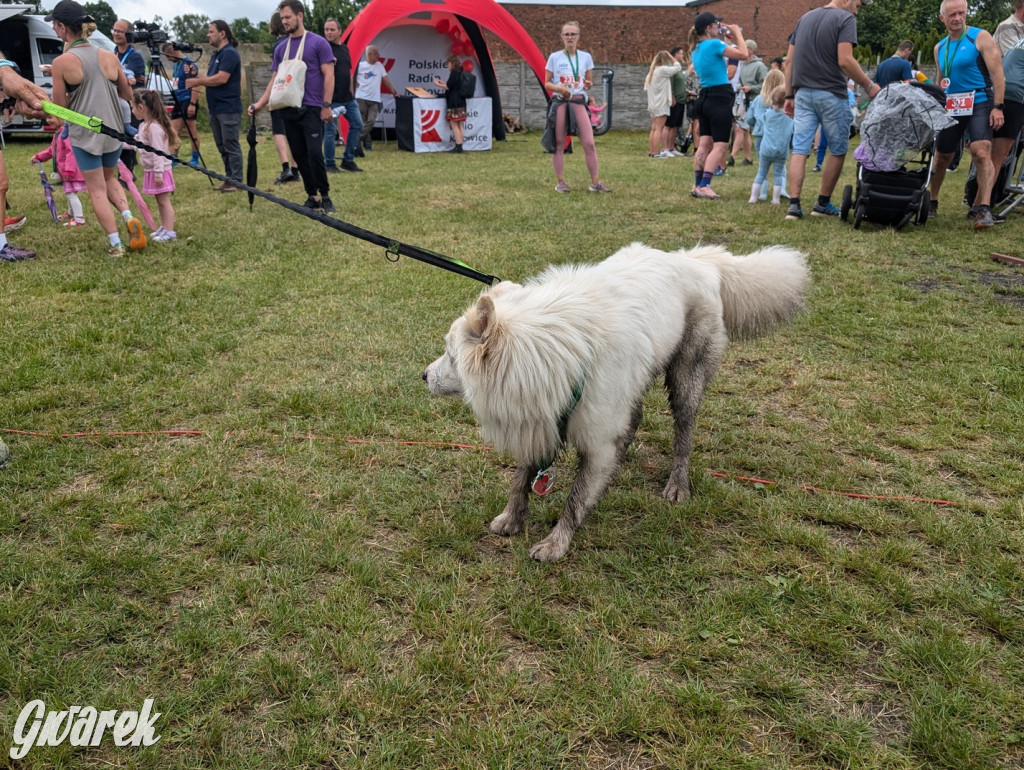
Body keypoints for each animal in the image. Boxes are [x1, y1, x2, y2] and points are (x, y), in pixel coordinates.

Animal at [423, 240, 806, 561]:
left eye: (450, 354)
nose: (423, 375)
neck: (556, 349)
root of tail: (696, 259)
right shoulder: (541, 417)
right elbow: (521, 480)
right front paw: (511, 519)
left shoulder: (599, 442)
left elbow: (576, 498)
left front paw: (556, 543)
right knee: (635, 419)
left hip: (686, 381)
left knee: (683, 434)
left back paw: (677, 485)